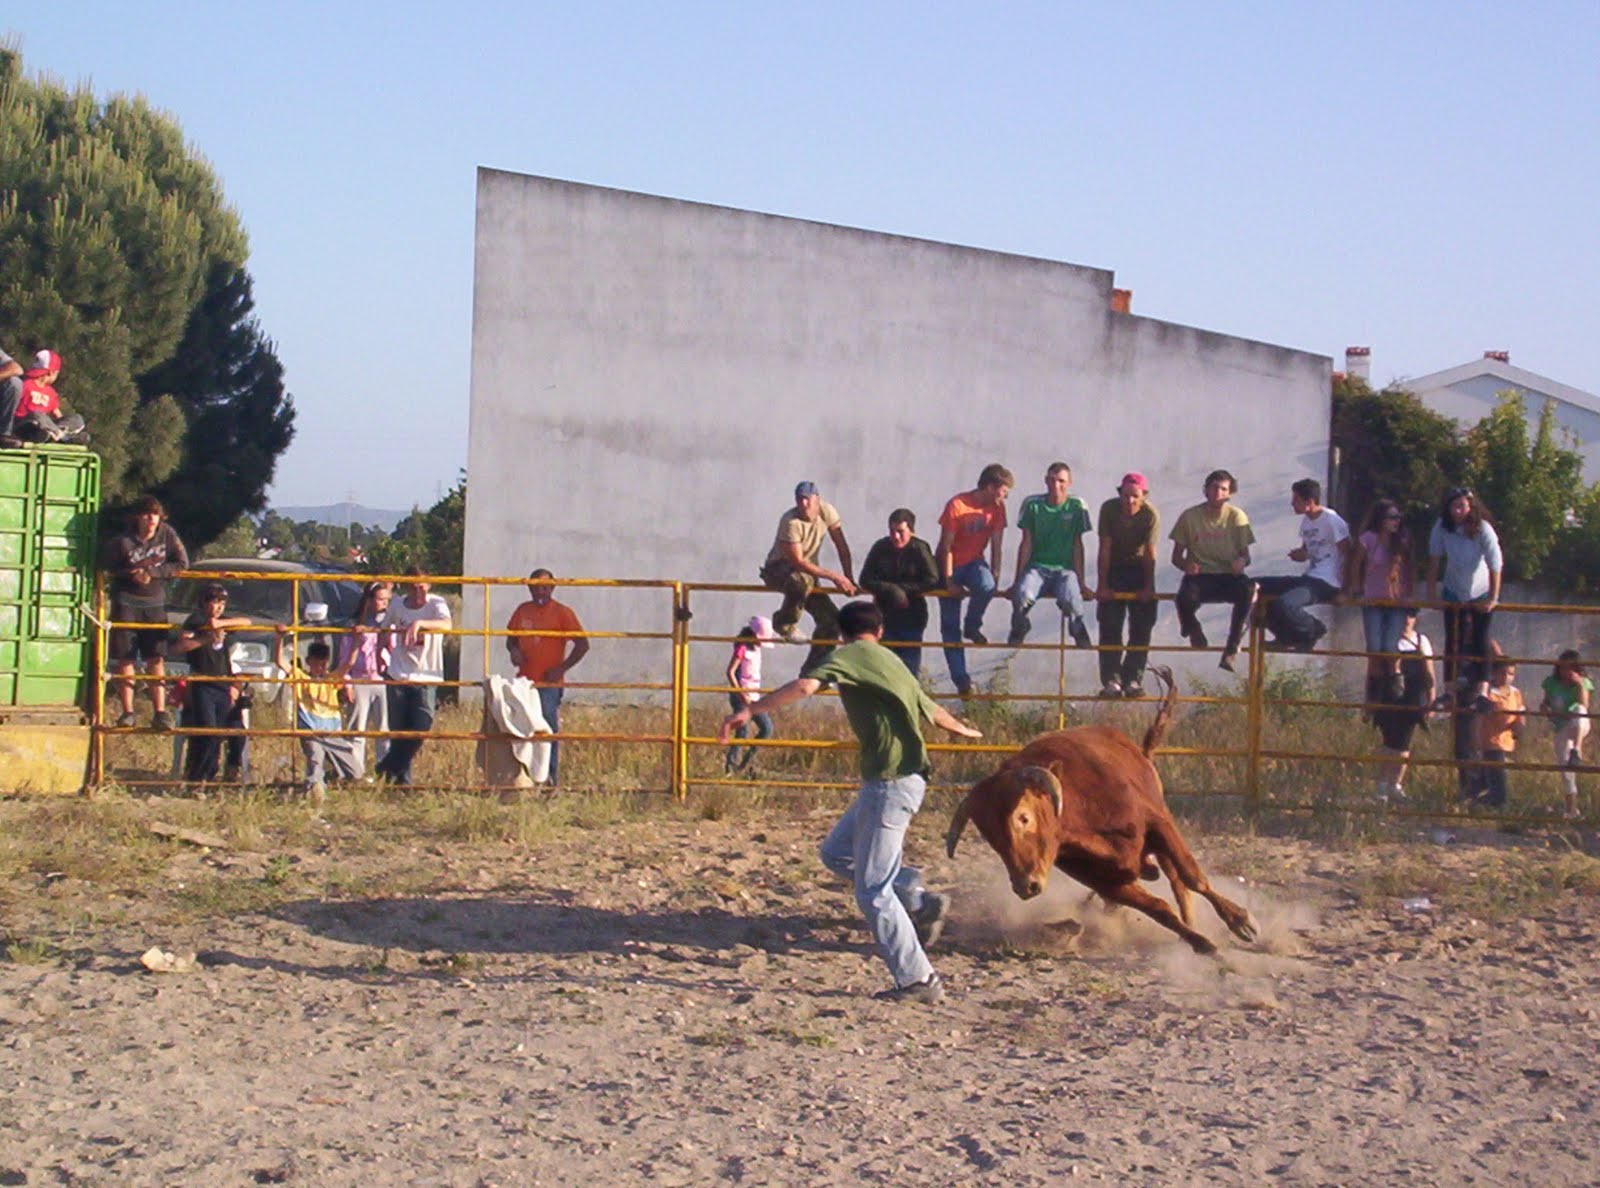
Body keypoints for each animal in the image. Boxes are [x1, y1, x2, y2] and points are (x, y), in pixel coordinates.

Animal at [944, 666, 1258, 956]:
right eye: (991, 837)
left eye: (1024, 817)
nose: (1025, 886)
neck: (1082, 816)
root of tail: (1140, 752)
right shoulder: (1100, 877)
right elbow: (1157, 909)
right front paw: (1200, 942)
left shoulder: (1158, 825)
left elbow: (1195, 878)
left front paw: (1240, 921)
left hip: (1162, 824)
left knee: (1178, 881)